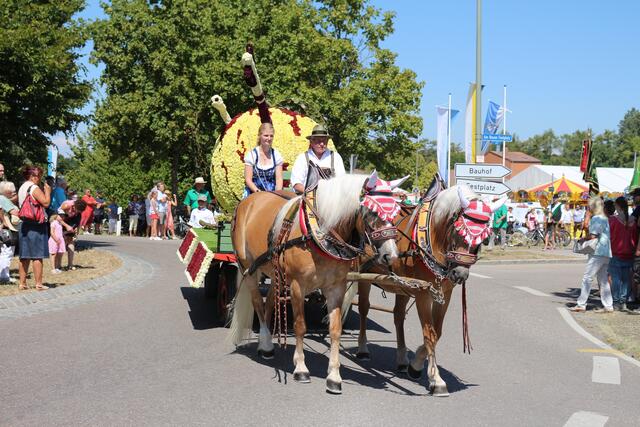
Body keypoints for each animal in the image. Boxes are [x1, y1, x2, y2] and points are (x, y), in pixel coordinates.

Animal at [229, 171, 407, 394]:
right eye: (372, 213)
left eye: (396, 214)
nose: (391, 256)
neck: (320, 234)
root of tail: (249, 200)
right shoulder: (298, 286)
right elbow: (300, 326)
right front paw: (301, 368)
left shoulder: (336, 287)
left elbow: (335, 329)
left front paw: (334, 376)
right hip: (249, 268)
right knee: (257, 303)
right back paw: (268, 345)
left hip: (274, 270)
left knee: (269, 301)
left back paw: (265, 342)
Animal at [354, 181, 506, 396]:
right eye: (458, 231)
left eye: (483, 238)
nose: (460, 274)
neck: (433, 238)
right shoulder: (423, 293)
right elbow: (429, 333)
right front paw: (436, 379)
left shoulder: (445, 293)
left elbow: (438, 331)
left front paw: (415, 365)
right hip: (364, 277)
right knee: (364, 308)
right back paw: (363, 349)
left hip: (403, 285)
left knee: (398, 315)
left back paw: (402, 360)